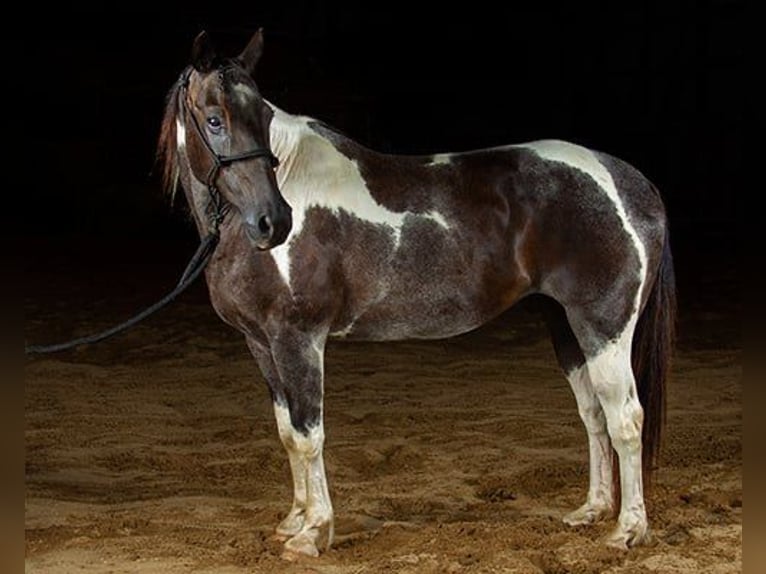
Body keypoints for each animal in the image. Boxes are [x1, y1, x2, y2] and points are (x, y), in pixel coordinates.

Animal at [157, 29, 676, 558]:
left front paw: (314, 532)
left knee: (625, 418)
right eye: (215, 119)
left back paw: (627, 530)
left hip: (604, 326)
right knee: (594, 413)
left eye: (263, 118)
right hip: (567, 326)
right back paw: (592, 510)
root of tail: (629, 183)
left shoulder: (298, 338)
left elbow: (308, 435)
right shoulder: (262, 343)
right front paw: (294, 519)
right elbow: (286, 432)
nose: (273, 222)